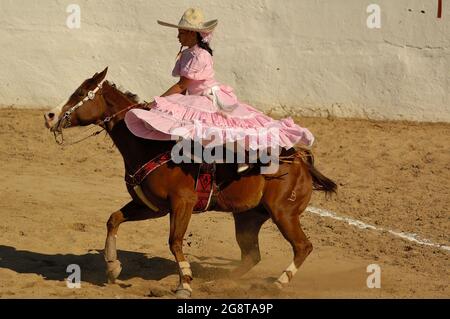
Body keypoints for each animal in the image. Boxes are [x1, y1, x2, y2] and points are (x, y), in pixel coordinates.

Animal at [44, 68, 336, 300]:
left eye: (81, 92)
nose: (50, 115)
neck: (150, 145)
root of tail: (300, 158)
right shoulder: (151, 207)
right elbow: (113, 218)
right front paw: (113, 266)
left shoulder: (181, 203)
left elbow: (175, 241)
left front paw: (184, 283)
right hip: (248, 217)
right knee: (252, 255)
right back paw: (220, 283)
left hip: (283, 213)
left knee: (303, 247)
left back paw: (276, 283)